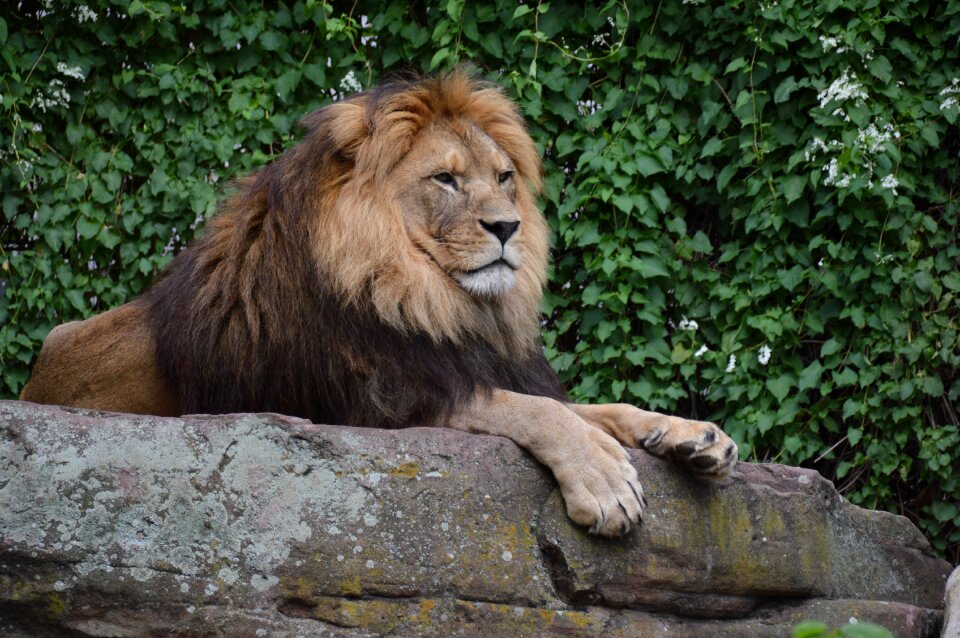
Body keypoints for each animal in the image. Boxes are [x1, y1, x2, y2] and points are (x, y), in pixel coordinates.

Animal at [20, 71, 736, 540]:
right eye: (445, 179)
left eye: (504, 178)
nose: (509, 227)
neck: (433, 298)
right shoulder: (384, 399)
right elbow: (536, 412)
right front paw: (605, 481)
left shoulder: (466, 361)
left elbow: (594, 407)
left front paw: (692, 434)